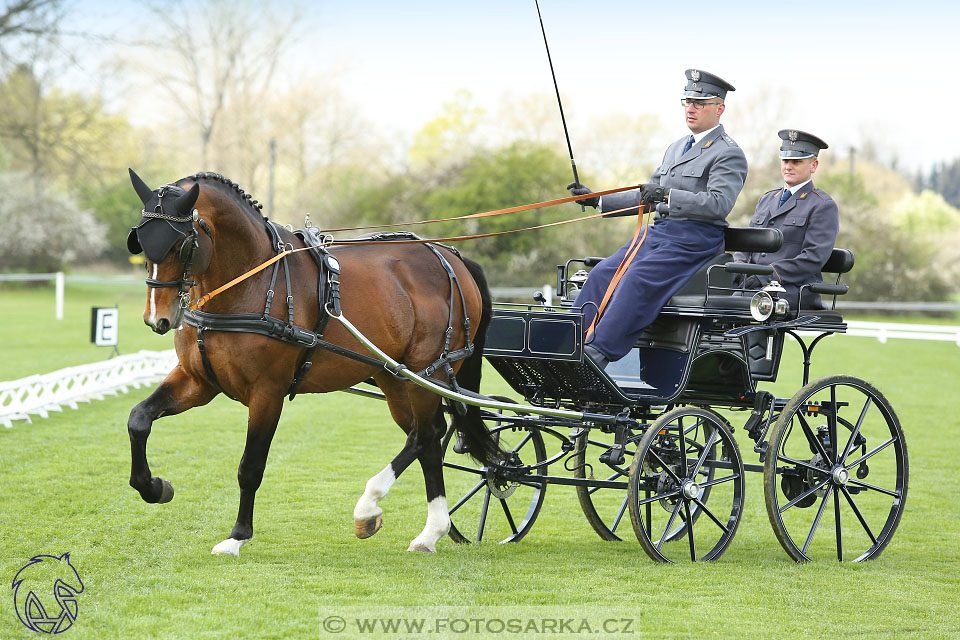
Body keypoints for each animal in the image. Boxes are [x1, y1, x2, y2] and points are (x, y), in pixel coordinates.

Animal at [124, 170, 502, 556]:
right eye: (139, 240)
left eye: (181, 244)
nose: (157, 318)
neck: (251, 281)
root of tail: (450, 257)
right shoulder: (198, 381)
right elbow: (139, 419)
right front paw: (154, 487)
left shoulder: (267, 392)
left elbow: (250, 466)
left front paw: (237, 535)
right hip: (396, 377)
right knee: (425, 438)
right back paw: (409, 523)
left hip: (430, 371)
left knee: (427, 433)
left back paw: (409, 522)